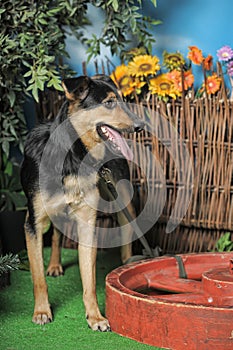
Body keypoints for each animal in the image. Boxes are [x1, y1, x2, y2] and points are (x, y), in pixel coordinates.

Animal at [20, 74, 144, 330]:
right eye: (109, 102)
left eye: (123, 100)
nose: (141, 125)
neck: (74, 156)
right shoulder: (33, 223)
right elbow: (37, 276)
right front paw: (42, 311)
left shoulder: (87, 222)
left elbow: (89, 279)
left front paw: (95, 316)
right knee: (55, 235)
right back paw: (54, 265)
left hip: (122, 199)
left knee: (126, 232)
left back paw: (126, 263)